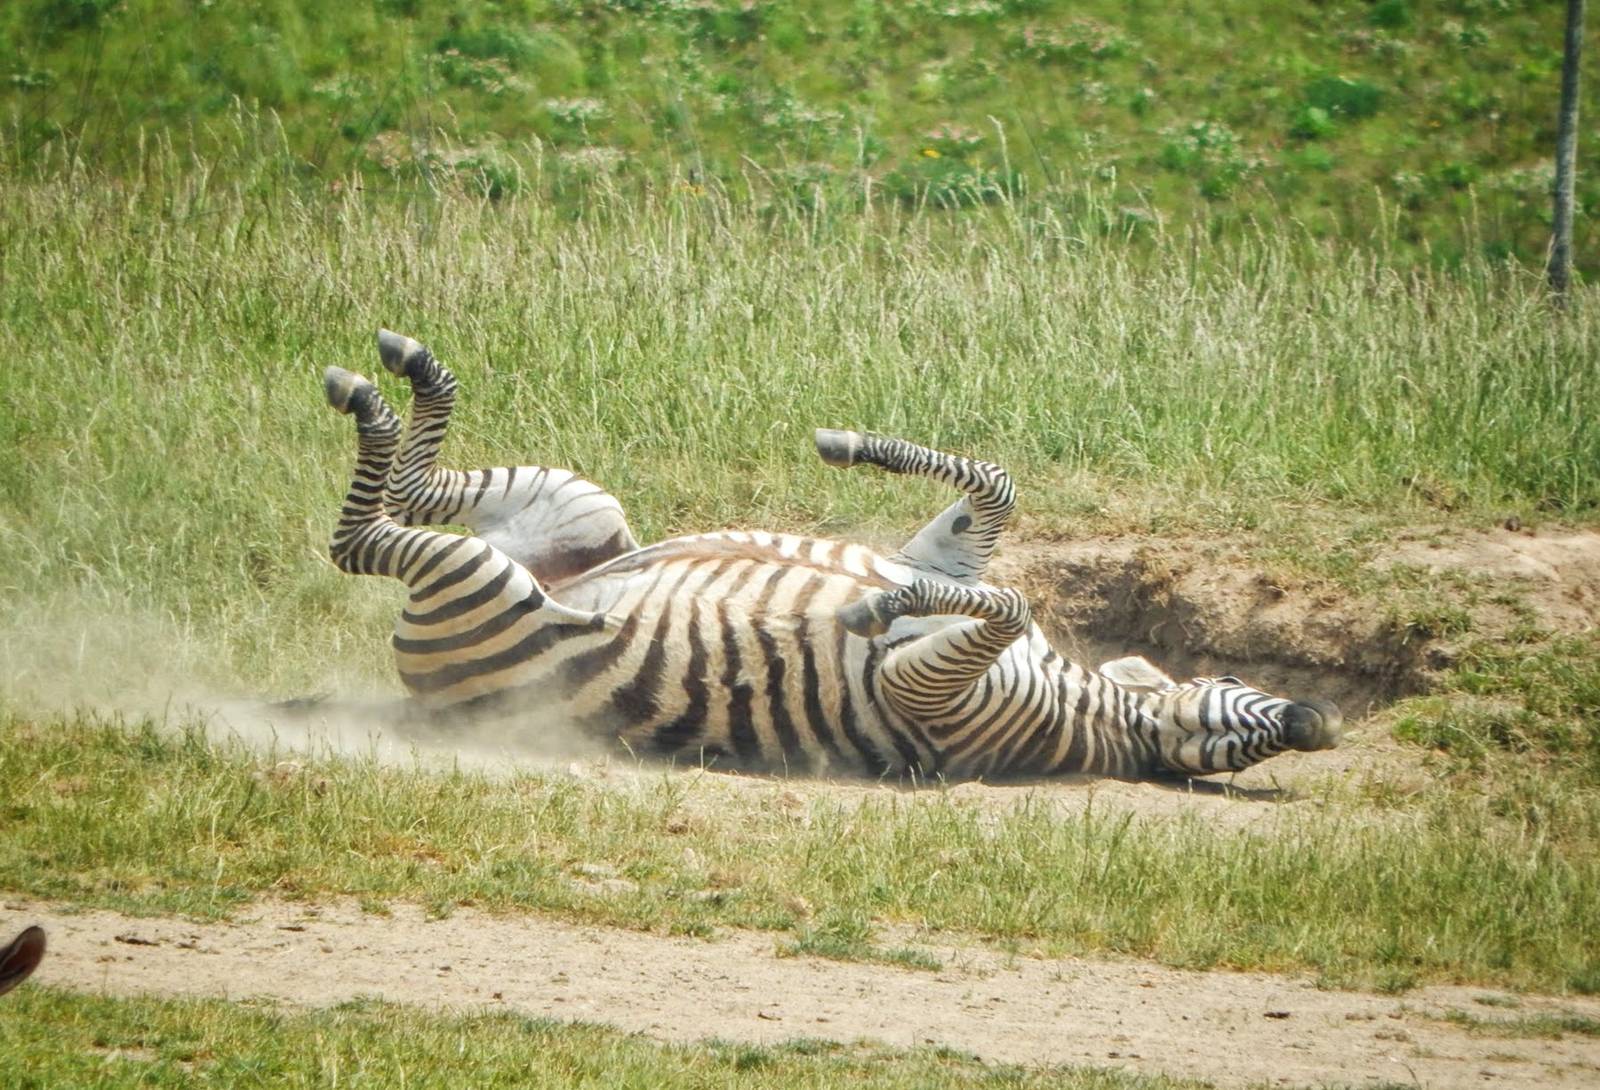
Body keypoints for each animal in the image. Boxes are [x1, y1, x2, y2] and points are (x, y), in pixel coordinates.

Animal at [316, 330, 1342, 781]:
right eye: (1236, 695)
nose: (1319, 722)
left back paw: (367, 392)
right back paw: (402, 369)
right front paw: (851, 447)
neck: (1093, 714)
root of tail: (424, 696)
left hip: (485, 587)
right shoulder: (946, 566)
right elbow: (996, 488)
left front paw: (875, 607)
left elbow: (997, 596)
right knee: (411, 494)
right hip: (583, 510)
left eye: (1228, 753)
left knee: (365, 537)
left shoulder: (922, 695)